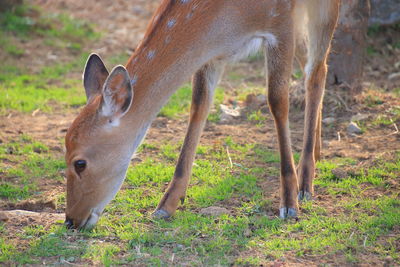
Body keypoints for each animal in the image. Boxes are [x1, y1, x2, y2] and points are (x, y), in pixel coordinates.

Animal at [64, 0, 340, 230]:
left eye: (80, 163)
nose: (70, 220)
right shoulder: (213, 54)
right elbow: (198, 106)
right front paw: (166, 204)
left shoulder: (280, 20)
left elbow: (277, 101)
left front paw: (289, 204)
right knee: (310, 64)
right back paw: (315, 152)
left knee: (317, 70)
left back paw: (305, 181)